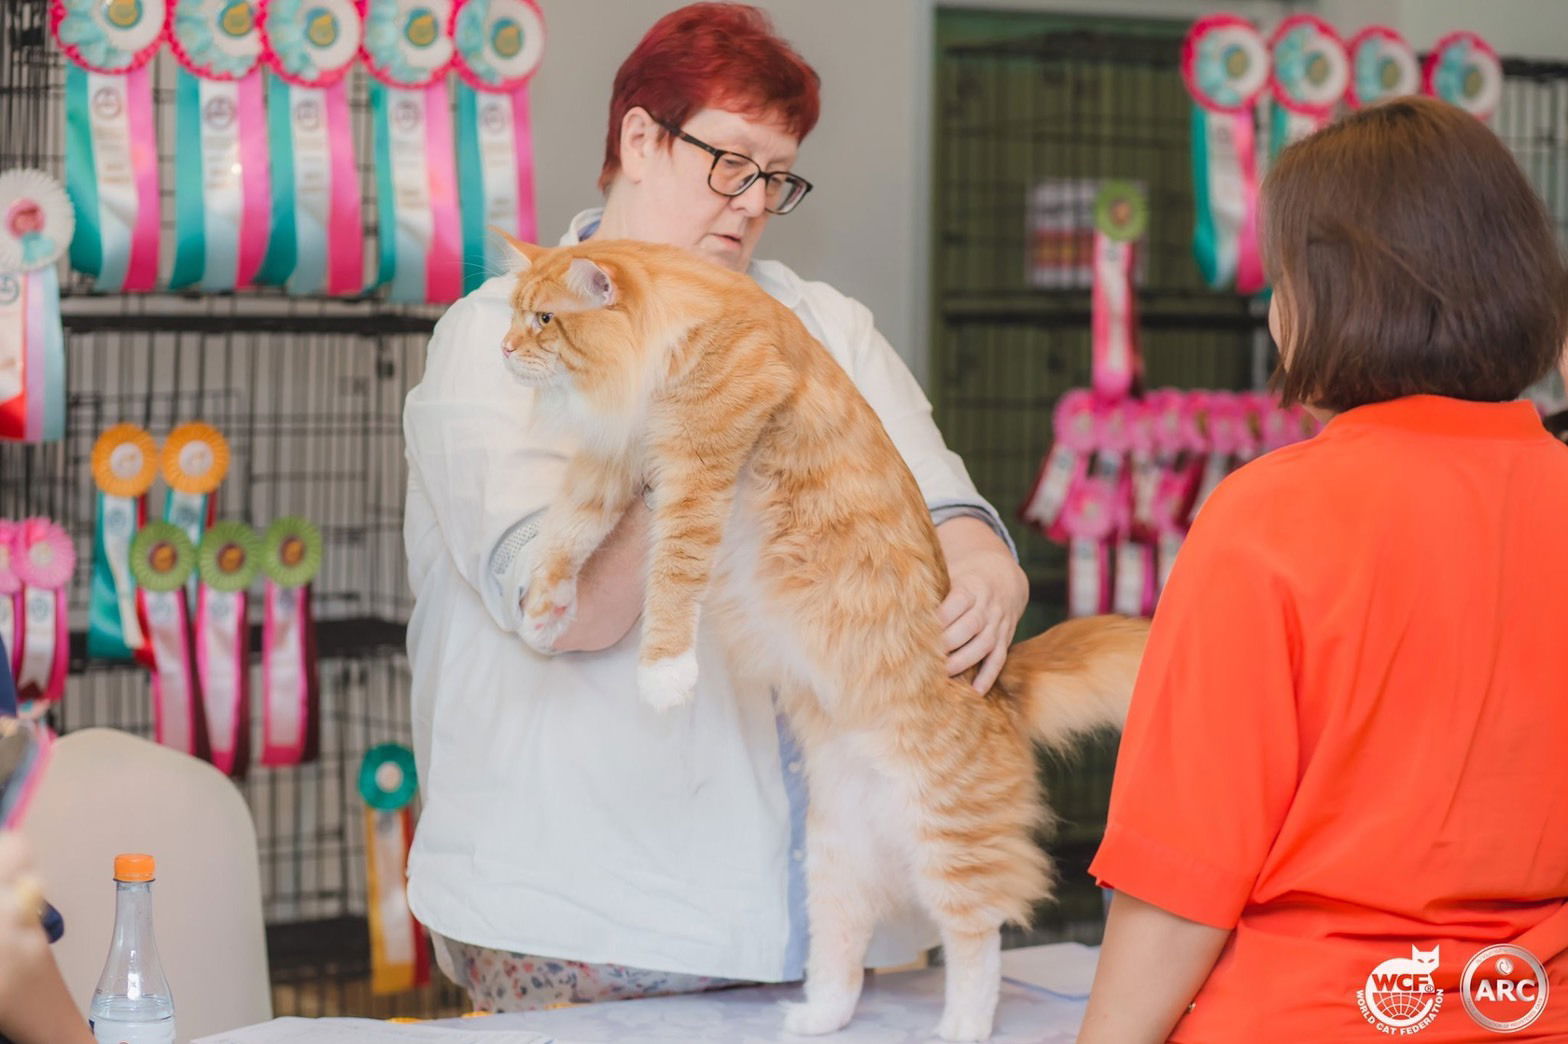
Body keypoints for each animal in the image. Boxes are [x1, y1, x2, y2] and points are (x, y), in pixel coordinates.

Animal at [501, 238, 1154, 1040]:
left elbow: (672, 576)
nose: (504, 348)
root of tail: (1003, 685)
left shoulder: (698, 465)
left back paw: (961, 1025)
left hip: (949, 840)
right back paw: (815, 1015)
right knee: (843, 949)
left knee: (978, 937)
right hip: (835, 856)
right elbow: (564, 531)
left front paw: (663, 672)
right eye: (514, 315)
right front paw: (544, 608)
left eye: (543, 319)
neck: (686, 324)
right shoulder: (617, 458)